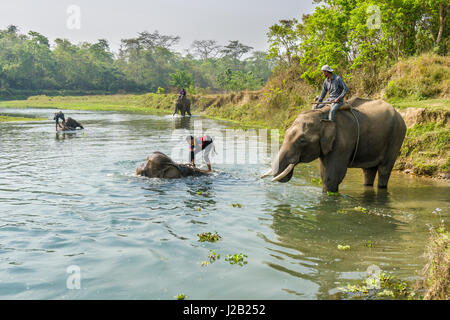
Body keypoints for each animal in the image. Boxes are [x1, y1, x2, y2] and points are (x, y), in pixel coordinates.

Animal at [260, 97, 408, 192]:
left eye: (302, 140)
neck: (322, 115)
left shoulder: (342, 142)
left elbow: (331, 177)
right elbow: (324, 173)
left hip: (396, 136)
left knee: (384, 169)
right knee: (368, 171)